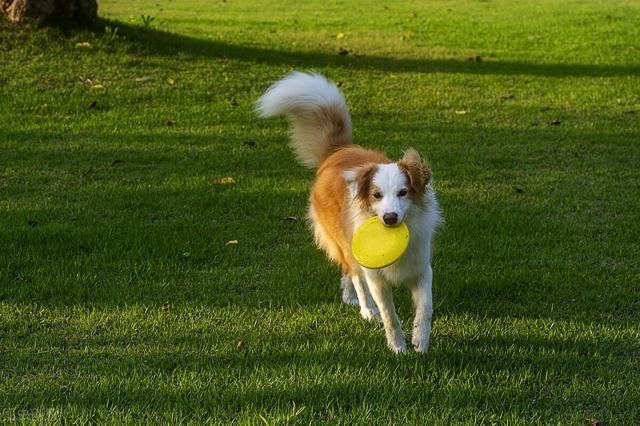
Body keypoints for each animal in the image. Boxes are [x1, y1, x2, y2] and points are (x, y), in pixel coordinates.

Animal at [255, 72, 440, 352]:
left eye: (403, 192)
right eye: (376, 195)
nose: (390, 218)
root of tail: (337, 151)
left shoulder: (421, 268)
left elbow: (426, 308)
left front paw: (420, 341)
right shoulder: (376, 278)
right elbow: (389, 314)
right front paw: (398, 347)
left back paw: (349, 298)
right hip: (344, 241)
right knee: (354, 274)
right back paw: (365, 309)